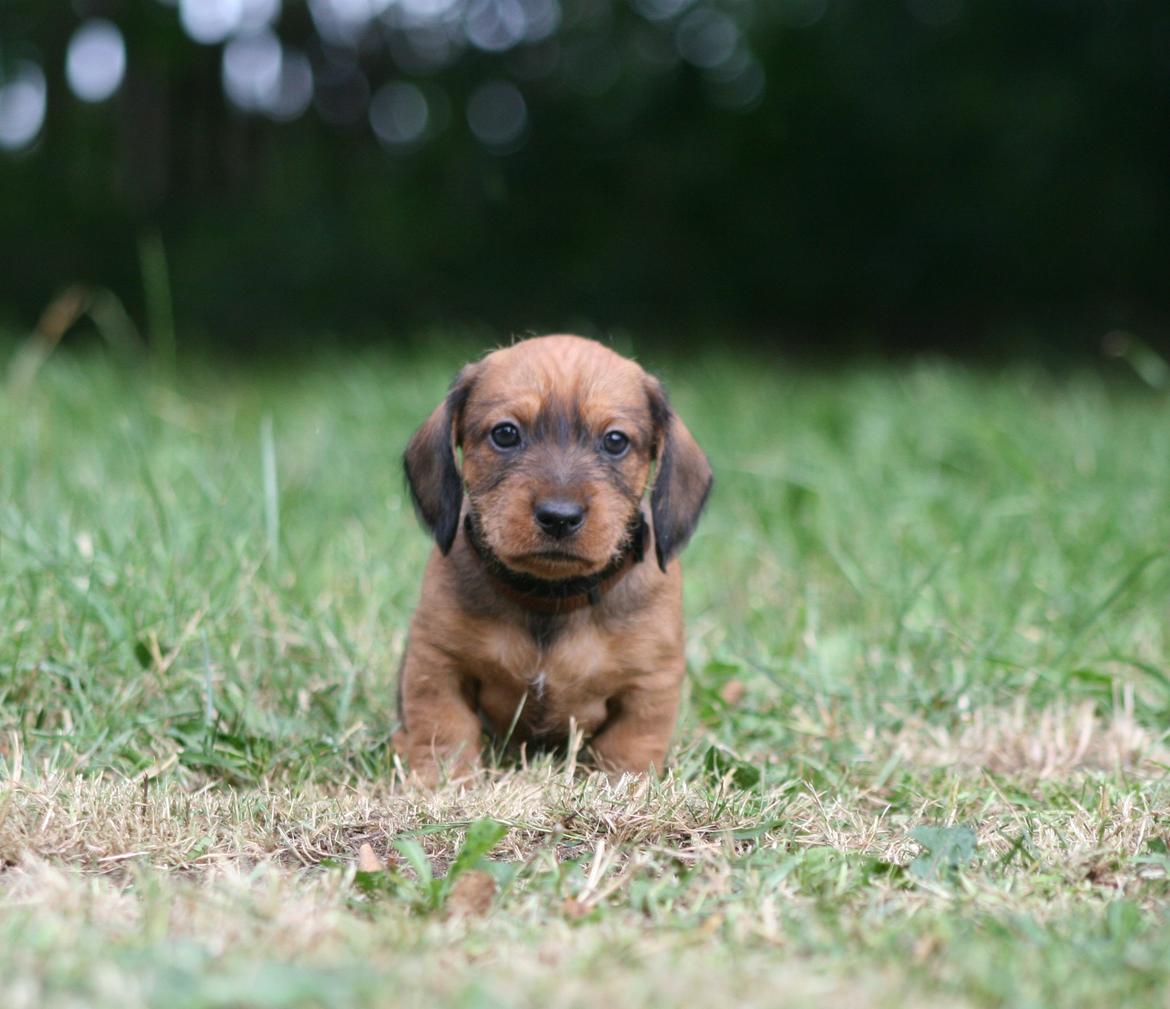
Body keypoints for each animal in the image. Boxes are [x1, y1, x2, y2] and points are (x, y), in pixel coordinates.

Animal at [397, 334, 711, 786]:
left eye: (615, 441)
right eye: (505, 434)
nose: (559, 517)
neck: (551, 595)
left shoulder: (650, 683)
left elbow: (630, 744)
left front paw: (624, 787)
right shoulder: (437, 663)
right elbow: (444, 729)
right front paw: (442, 783)